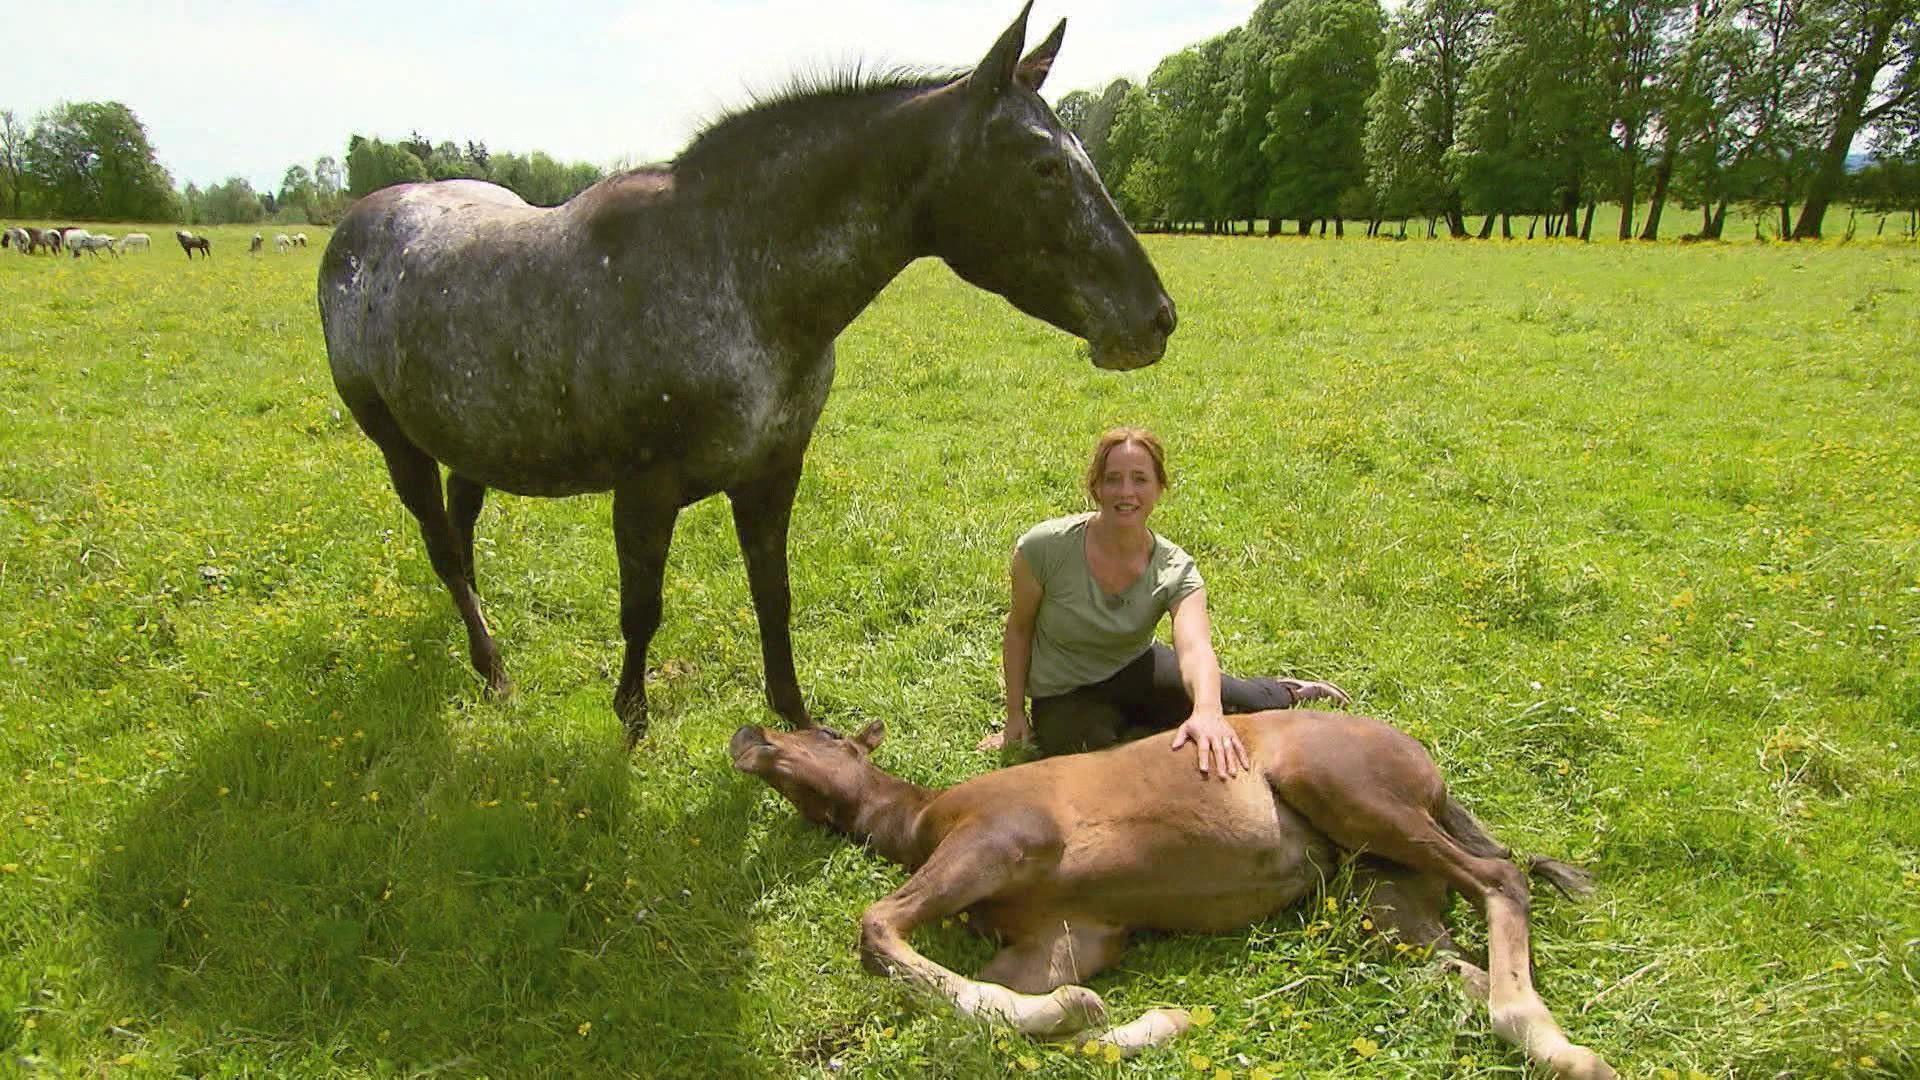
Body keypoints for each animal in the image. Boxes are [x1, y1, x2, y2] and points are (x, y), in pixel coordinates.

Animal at [318, 4, 1175, 746]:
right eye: (1043, 166)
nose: (1156, 318)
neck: (739, 276)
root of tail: (357, 228)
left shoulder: (773, 471)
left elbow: (774, 594)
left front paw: (800, 722)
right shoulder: (645, 489)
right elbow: (642, 608)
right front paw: (631, 724)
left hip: (472, 439)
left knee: (460, 528)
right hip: (397, 443)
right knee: (442, 545)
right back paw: (494, 671)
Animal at [731, 713, 1617, 1078]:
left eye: (818, 735)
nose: (746, 737)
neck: (922, 819)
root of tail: (1430, 776)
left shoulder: (1001, 840)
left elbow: (879, 931)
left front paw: (1090, 1012)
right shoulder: (1064, 942)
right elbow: (1010, 1024)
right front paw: (1142, 1018)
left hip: (1350, 793)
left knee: (1501, 880)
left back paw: (1556, 1044)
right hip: (1382, 905)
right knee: (1459, 962)